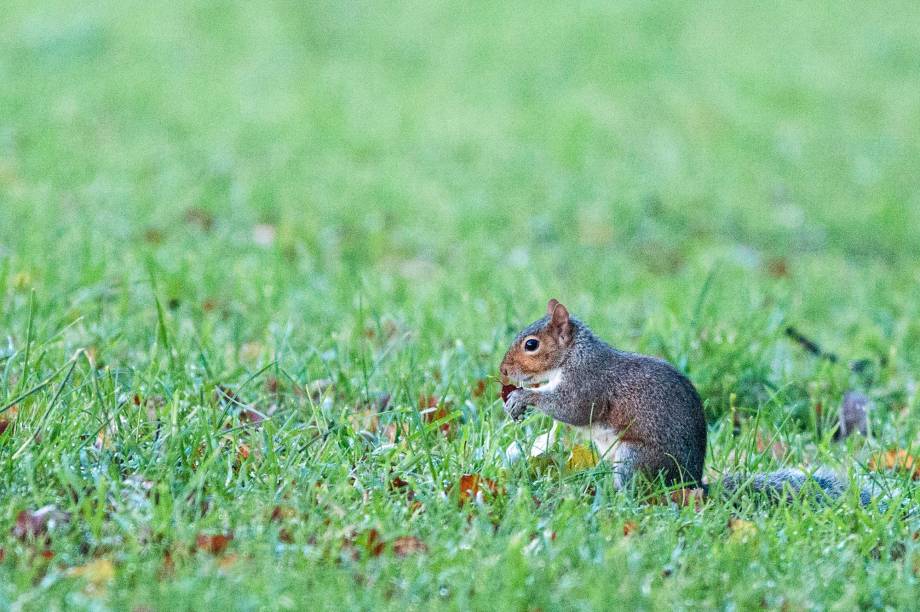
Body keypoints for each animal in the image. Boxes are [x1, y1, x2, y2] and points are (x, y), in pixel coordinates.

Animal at [500, 298, 860, 502]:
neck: (574, 355)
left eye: (531, 345)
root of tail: (690, 483)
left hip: (634, 459)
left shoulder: (589, 383)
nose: (503, 370)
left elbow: (572, 408)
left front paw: (523, 398)